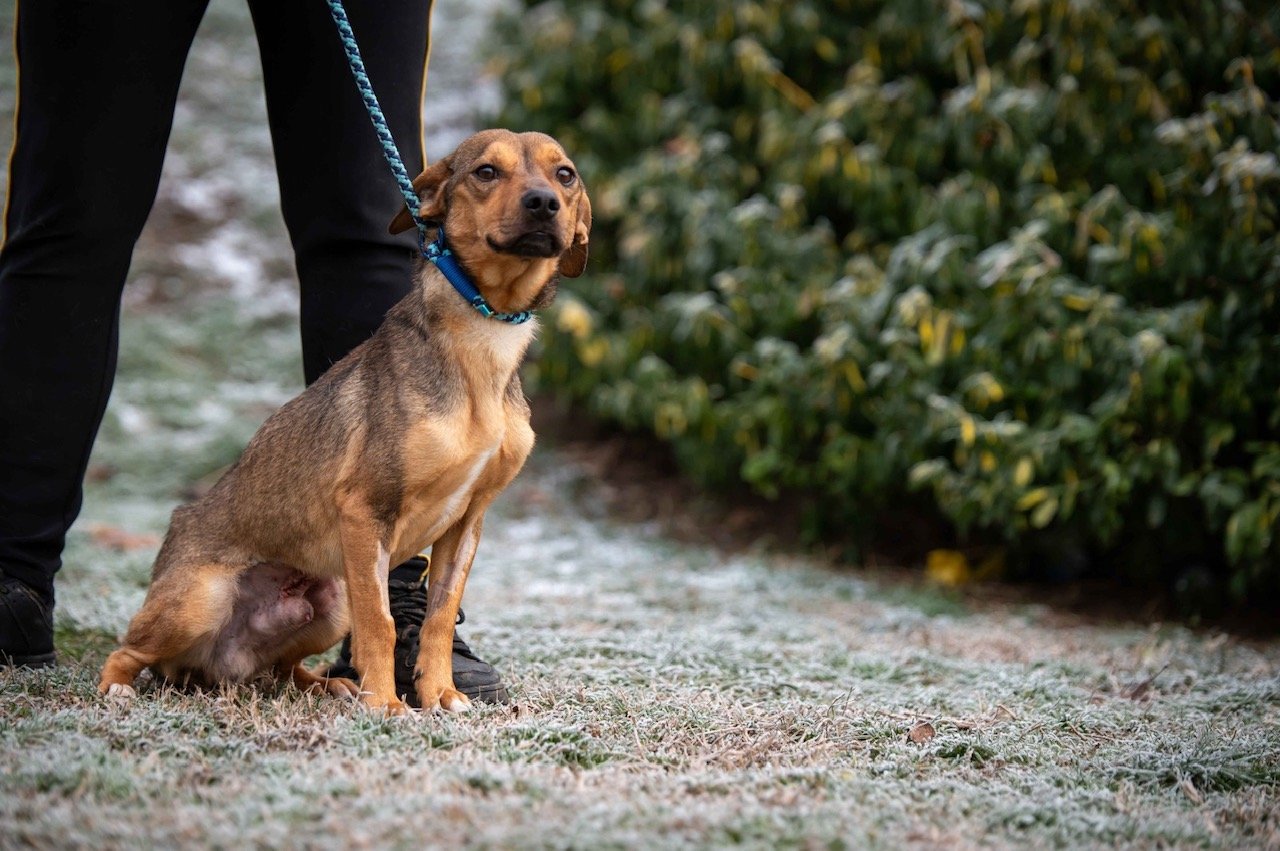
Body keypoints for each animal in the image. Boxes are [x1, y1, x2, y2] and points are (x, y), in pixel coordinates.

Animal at [98, 129, 591, 714]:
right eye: (486, 172)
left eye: (565, 175)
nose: (543, 203)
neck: (483, 342)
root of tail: (219, 666)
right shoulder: (365, 511)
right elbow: (379, 621)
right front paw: (387, 705)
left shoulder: (467, 521)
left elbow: (439, 617)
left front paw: (440, 695)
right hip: (202, 601)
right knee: (126, 650)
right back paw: (117, 688)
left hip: (330, 604)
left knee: (283, 669)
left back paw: (332, 684)